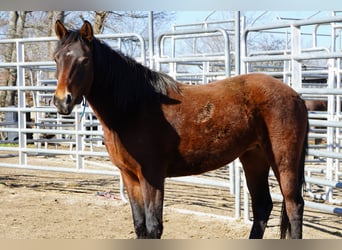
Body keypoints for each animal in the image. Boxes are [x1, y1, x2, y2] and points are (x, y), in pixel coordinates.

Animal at [52, 20, 308, 238]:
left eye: (84, 60)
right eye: (56, 59)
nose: (62, 101)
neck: (134, 107)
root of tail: (295, 95)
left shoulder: (152, 176)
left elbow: (153, 227)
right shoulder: (130, 177)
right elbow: (140, 226)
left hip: (283, 160)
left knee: (293, 205)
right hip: (254, 157)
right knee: (262, 206)